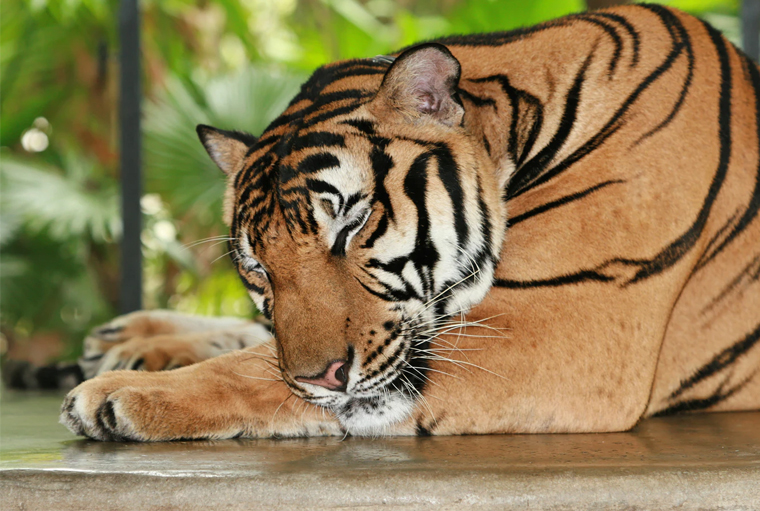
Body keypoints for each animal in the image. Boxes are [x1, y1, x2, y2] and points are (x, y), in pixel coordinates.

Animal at [58, 4, 760, 441]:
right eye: (257, 267)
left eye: (352, 223)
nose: (322, 378)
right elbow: (262, 349)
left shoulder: (559, 330)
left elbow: (255, 368)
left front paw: (119, 396)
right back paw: (128, 333)